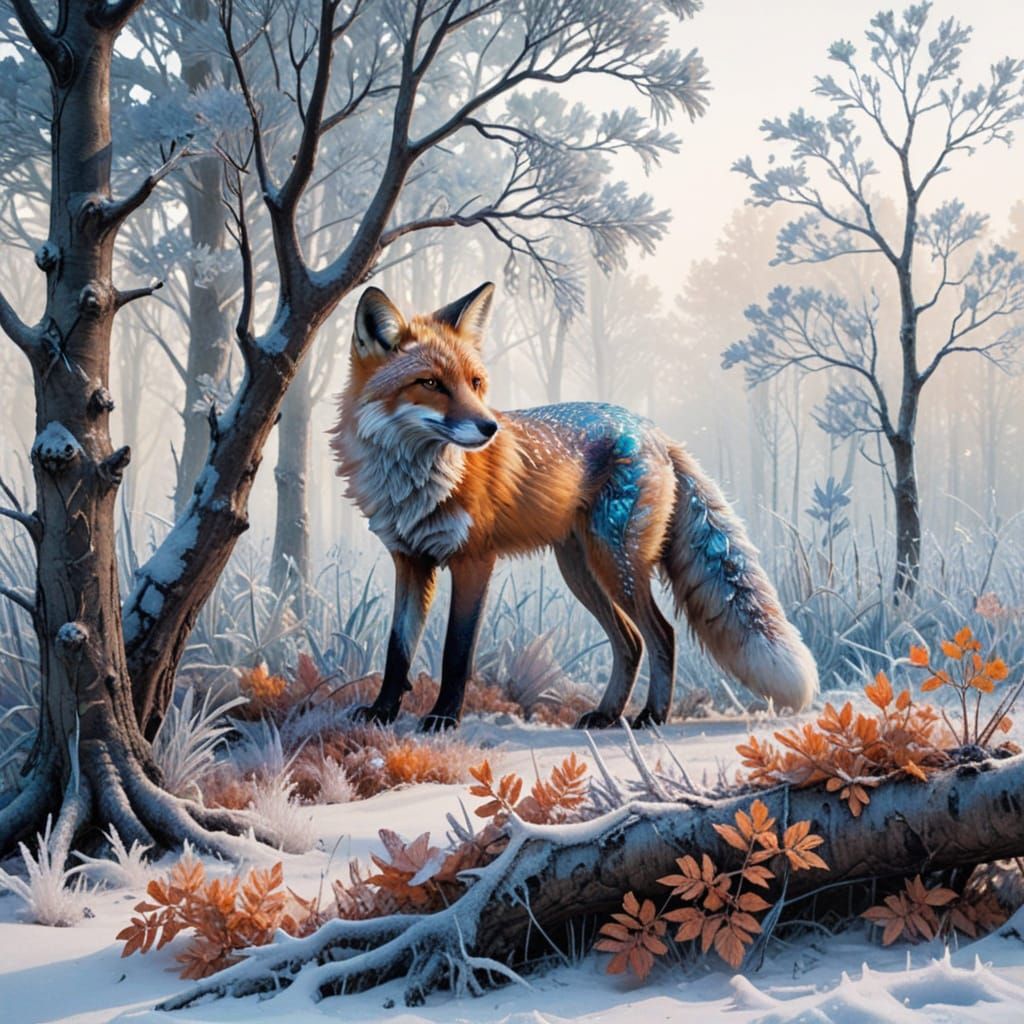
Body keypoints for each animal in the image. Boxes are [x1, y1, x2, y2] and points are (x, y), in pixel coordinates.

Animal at [330, 282, 818, 732]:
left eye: (475, 384)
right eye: (430, 383)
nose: (489, 428)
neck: (415, 482)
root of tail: (655, 431)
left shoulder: (474, 560)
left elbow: (456, 652)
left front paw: (443, 717)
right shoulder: (410, 559)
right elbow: (398, 650)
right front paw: (382, 712)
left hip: (616, 564)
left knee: (662, 633)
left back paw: (652, 715)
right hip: (581, 570)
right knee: (631, 641)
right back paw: (608, 713)